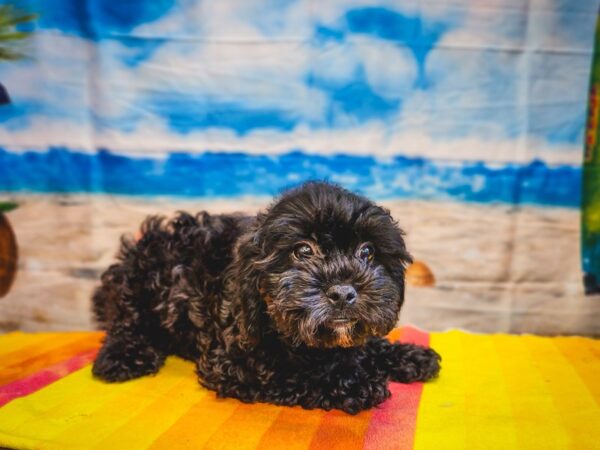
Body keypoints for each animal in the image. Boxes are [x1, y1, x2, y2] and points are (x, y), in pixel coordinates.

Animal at [94, 181, 440, 414]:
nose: (343, 292)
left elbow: (361, 346)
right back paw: (122, 357)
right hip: (139, 282)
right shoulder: (234, 361)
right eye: (303, 251)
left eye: (367, 252)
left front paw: (408, 356)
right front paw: (354, 381)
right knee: (126, 321)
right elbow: (294, 373)